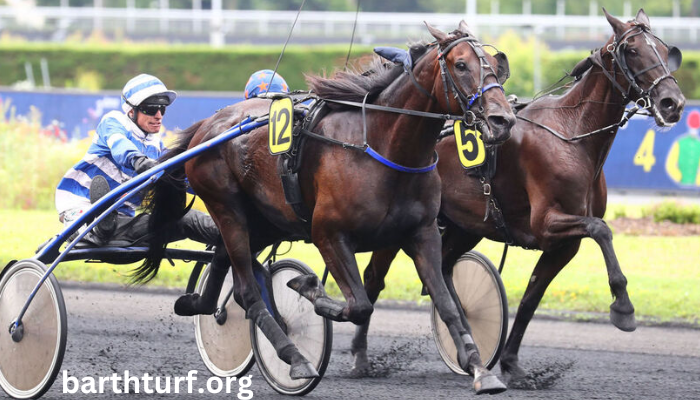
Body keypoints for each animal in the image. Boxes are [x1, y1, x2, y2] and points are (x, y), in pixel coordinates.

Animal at [135, 21, 516, 394]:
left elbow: (447, 304)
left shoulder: (421, 234)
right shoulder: (328, 233)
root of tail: (207, 125)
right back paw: (295, 358)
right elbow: (359, 305)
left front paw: (481, 369)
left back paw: (198, 304)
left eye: (495, 65)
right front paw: (308, 287)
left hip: (266, 220)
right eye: (461, 65)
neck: (383, 148)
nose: (503, 120)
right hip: (227, 207)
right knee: (247, 291)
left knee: (223, 260)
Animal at [356, 7, 684, 388]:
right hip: (401, 225)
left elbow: (531, 299)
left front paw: (512, 365)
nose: (673, 103)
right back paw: (361, 358)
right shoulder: (547, 223)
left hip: (465, 225)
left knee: (443, 269)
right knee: (374, 278)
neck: (571, 135)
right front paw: (623, 308)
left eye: (665, 50)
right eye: (632, 50)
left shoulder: (564, 244)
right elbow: (602, 230)